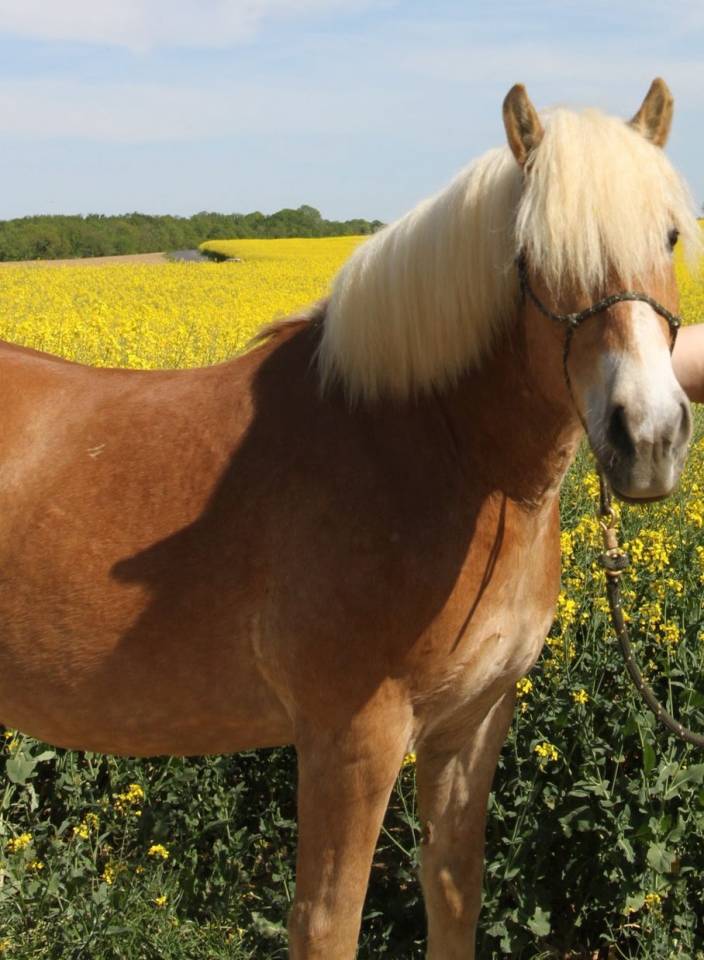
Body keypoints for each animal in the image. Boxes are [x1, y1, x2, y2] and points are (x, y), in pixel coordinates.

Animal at [0, 78, 699, 958]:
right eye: (531, 256)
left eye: (669, 236)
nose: (649, 437)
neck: (433, 449)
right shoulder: (351, 737)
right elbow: (328, 921)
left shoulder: (472, 724)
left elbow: (453, 893)